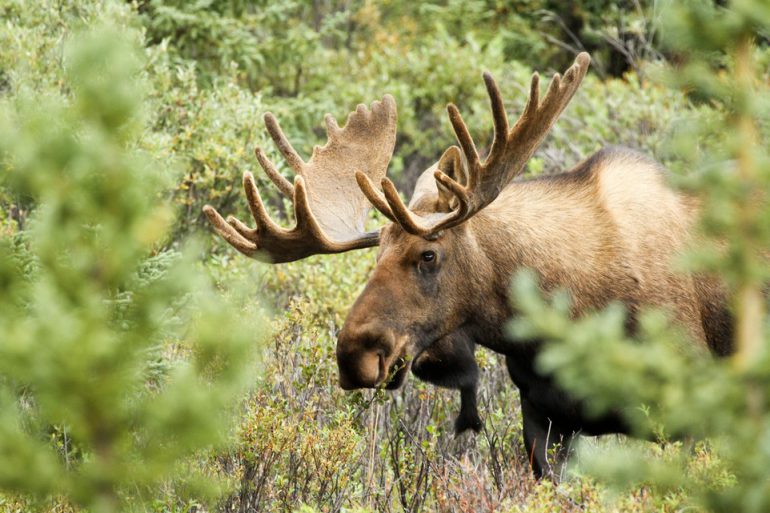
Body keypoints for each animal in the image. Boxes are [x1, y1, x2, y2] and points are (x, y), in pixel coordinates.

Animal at [204, 53, 734, 477]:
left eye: (428, 254)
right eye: (375, 256)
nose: (354, 355)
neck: (562, 313)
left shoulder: (689, 408)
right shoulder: (544, 417)